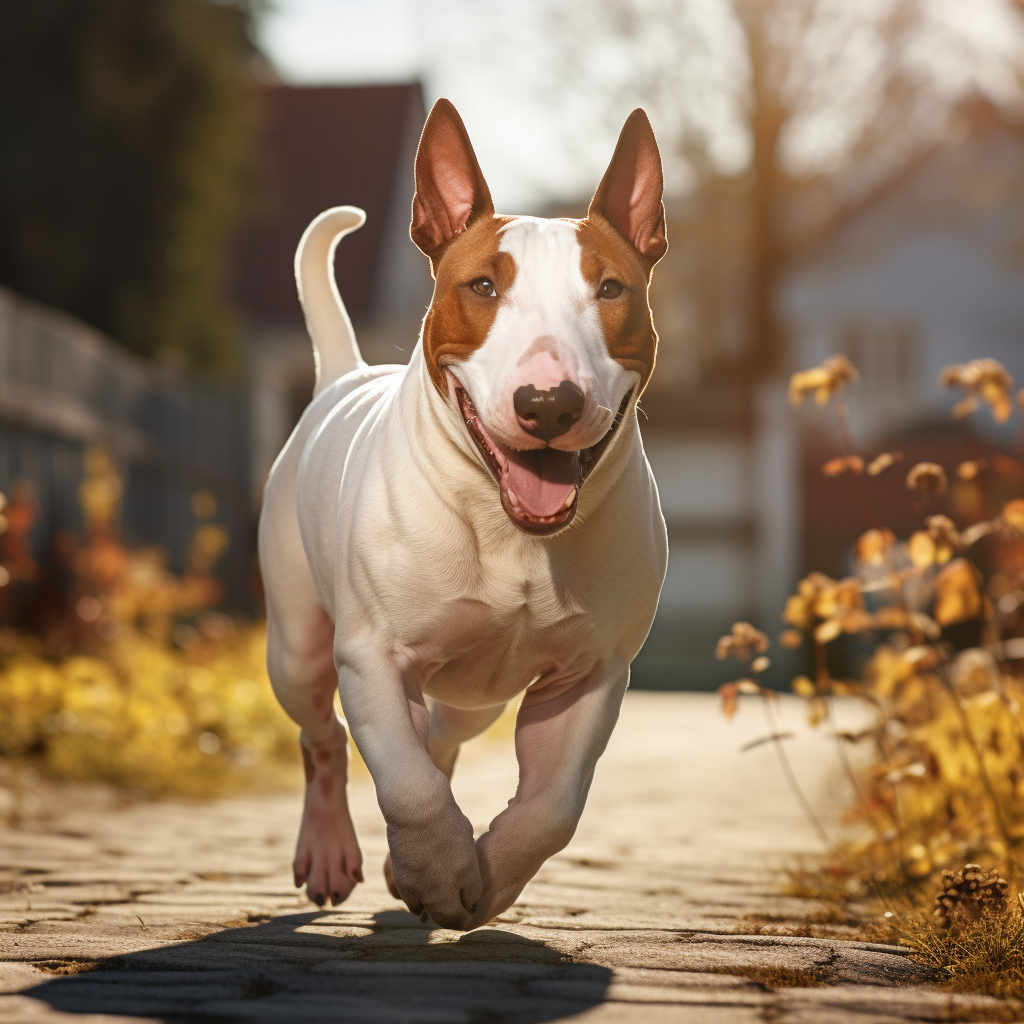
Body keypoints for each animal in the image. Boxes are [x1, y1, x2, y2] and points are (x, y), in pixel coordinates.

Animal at [260, 99, 667, 933]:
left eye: (611, 289)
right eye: (482, 285)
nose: (549, 404)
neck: (510, 528)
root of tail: (343, 373)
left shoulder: (592, 672)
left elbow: (551, 807)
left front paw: (482, 877)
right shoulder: (372, 656)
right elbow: (407, 783)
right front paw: (444, 874)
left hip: (475, 694)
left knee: (439, 737)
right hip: (298, 648)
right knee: (326, 737)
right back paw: (331, 851)